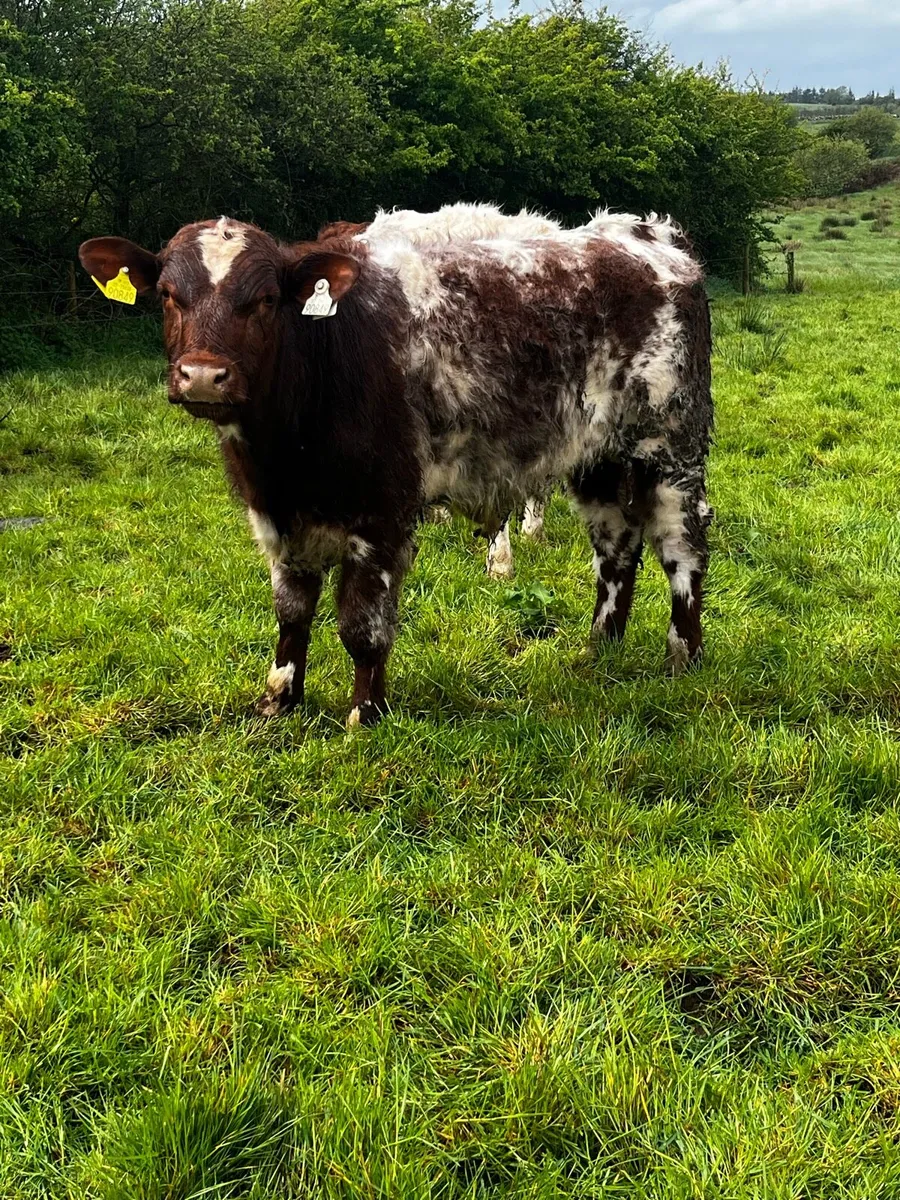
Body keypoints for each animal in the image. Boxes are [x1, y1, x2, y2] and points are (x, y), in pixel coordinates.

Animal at [79, 206, 712, 729]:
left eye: (264, 300)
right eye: (167, 294)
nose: (204, 376)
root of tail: (643, 232)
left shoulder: (383, 514)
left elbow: (362, 625)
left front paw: (366, 715)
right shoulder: (280, 515)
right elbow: (292, 612)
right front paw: (279, 701)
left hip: (673, 449)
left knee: (681, 549)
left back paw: (683, 658)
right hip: (598, 457)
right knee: (616, 548)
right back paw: (600, 650)